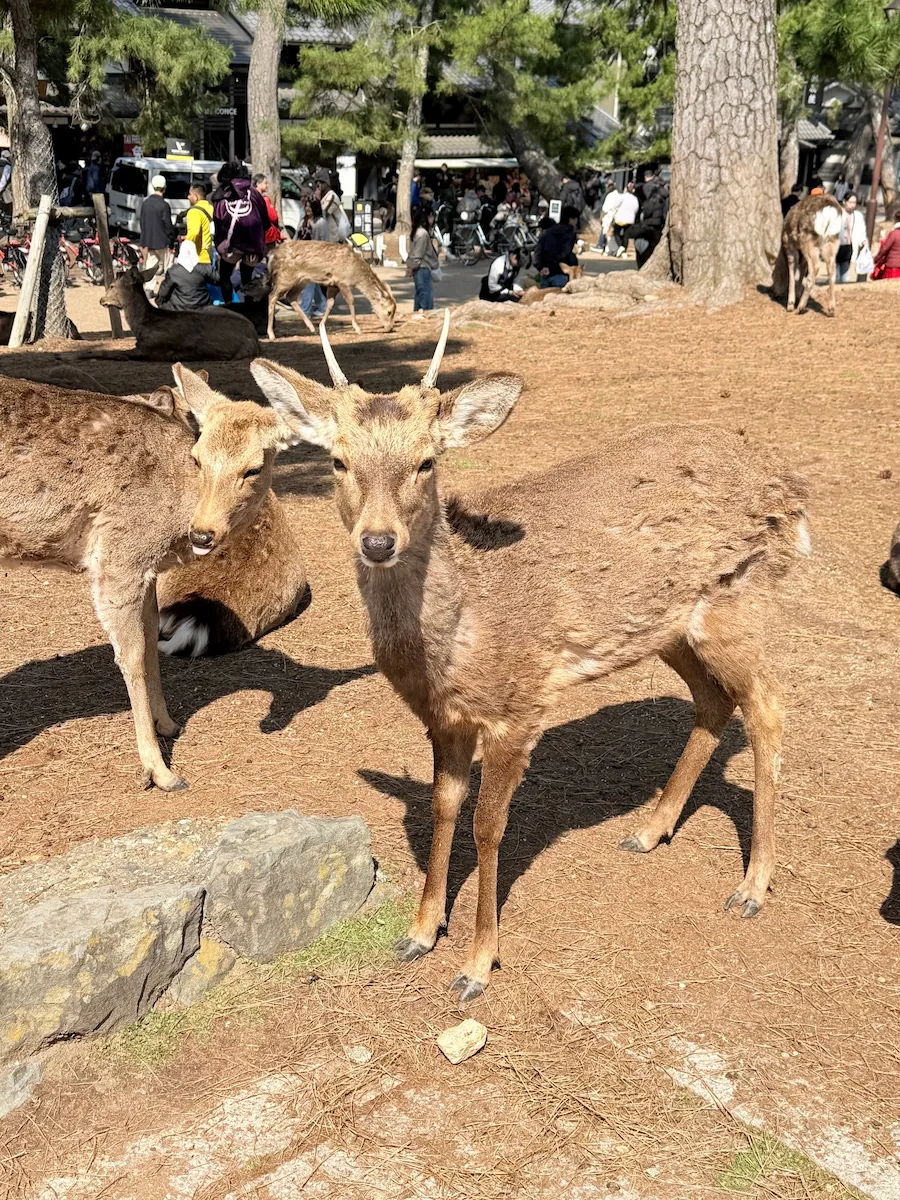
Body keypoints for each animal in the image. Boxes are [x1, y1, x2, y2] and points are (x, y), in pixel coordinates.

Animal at [0, 366, 297, 790]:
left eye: (253, 468)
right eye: (197, 458)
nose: (203, 534)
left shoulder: (148, 570)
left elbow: (152, 633)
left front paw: (168, 724)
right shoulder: (118, 557)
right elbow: (133, 655)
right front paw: (161, 771)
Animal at [100, 265, 260, 360]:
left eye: (112, 285)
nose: (101, 299)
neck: (141, 325)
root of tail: (255, 338)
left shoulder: (150, 347)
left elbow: (111, 353)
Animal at [250, 314, 810, 1002]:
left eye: (427, 462)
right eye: (337, 461)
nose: (378, 541)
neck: (451, 646)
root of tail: (790, 486)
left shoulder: (519, 706)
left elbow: (488, 827)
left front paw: (476, 964)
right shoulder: (444, 720)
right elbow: (442, 807)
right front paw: (420, 931)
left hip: (739, 600)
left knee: (768, 706)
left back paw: (752, 886)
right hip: (669, 628)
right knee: (713, 699)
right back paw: (649, 830)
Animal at [252, 241, 397, 341]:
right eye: (389, 312)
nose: (390, 328)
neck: (356, 276)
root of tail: (271, 256)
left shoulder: (333, 284)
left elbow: (331, 303)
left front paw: (322, 324)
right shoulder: (342, 280)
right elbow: (351, 301)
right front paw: (357, 328)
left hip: (302, 280)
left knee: (291, 297)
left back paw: (311, 327)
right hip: (284, 278)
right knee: (272, 296)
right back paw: (271, 334)